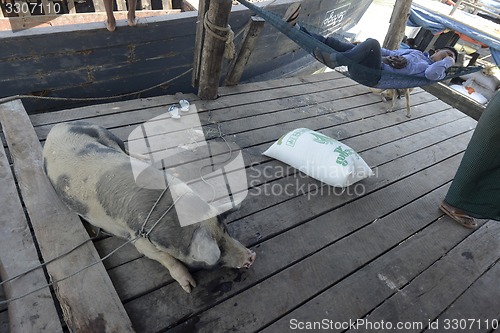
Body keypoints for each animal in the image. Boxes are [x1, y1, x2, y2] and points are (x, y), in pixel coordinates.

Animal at [41, 121, 256, 290]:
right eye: (219, 250)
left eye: (226, 231)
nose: (251, 256)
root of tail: (57, 126)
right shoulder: (138, 239)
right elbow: (165, 258)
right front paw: (189, 287)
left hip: (104, 132)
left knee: (124, 148)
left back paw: (143, 158)